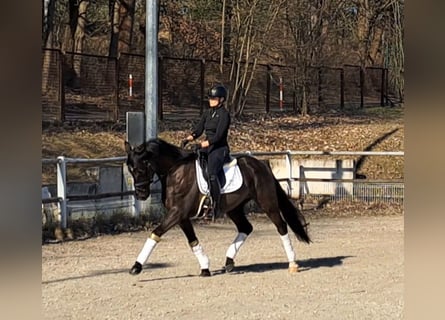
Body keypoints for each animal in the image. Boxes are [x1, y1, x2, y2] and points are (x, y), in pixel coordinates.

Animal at [124, 139, 308, 276]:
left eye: (141, 168)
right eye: (130, 170)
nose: (141, 194)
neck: (175, 171)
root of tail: (261, 166)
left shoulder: (177, 213)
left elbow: (156, 233)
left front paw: (136, 266)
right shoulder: (181, 216)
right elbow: (192, 240)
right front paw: (205, 267)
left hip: (267, 204)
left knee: (281, 226)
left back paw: (292, 263)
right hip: (234, 208)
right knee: (246, 227)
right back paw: (229, 262)